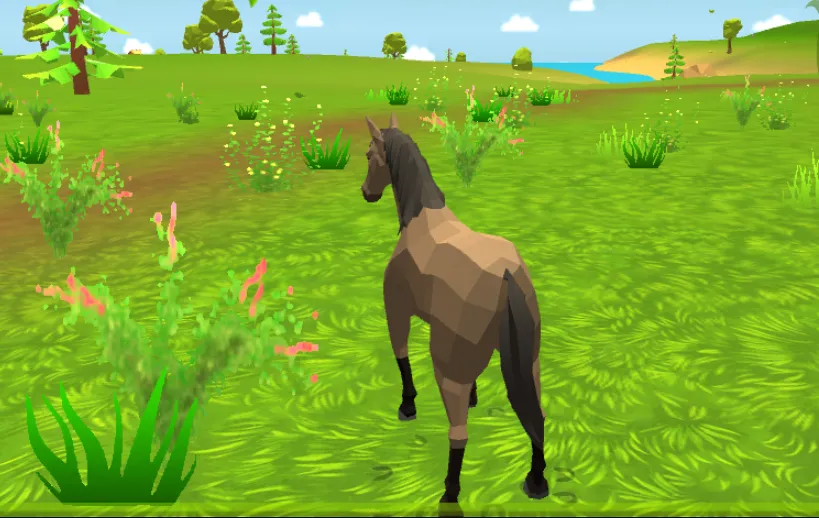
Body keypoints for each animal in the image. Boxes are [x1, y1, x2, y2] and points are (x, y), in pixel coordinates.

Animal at [360, 113, 549, 506]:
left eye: (369, 155)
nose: (366, 192)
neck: (421, 220)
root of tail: (507, 273)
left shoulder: (395, 309)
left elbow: (401, 355)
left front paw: (408, 406)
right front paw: (475, 397)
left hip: (447, 370)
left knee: (458, 433)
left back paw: (449, 493)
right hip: (532, 362)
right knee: (537, 417)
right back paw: (536, 481)